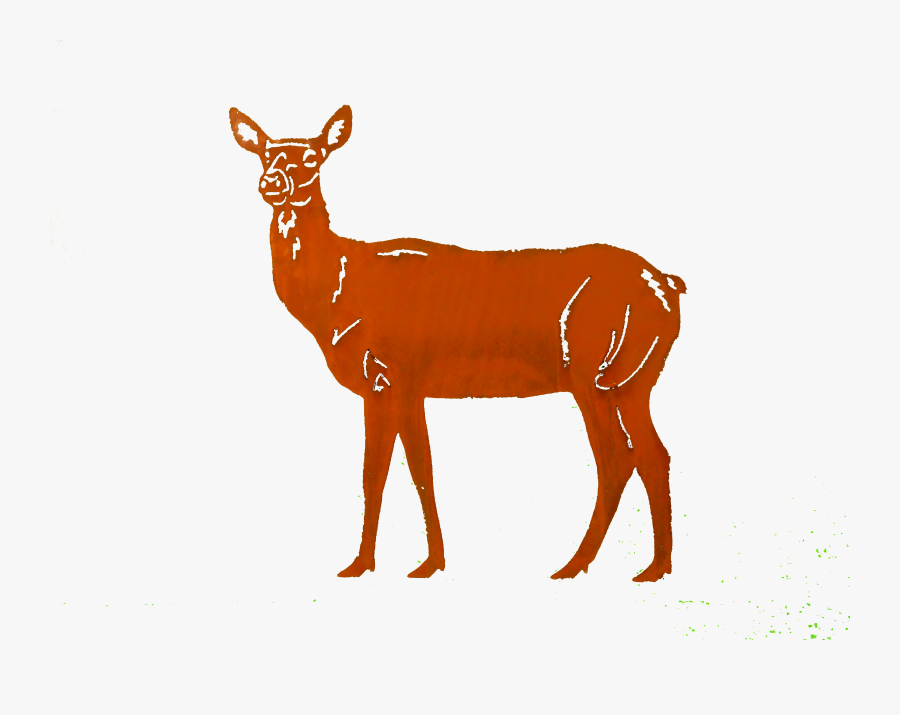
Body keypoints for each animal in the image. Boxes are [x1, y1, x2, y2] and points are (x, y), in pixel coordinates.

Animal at [229, 105, 687, 581]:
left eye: (312, 158)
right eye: (264, 154)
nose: (272, 183)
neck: (336, 294)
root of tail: (669, 285)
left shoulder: (401, 371)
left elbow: (413, 469)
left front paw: (426, 563)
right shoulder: (386, 386)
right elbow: (381, 471)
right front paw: (365, 563)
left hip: (589, 371)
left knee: (616, 458)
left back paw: (574, 565)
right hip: (634, 378)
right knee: (654, 455)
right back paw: (654, 567)